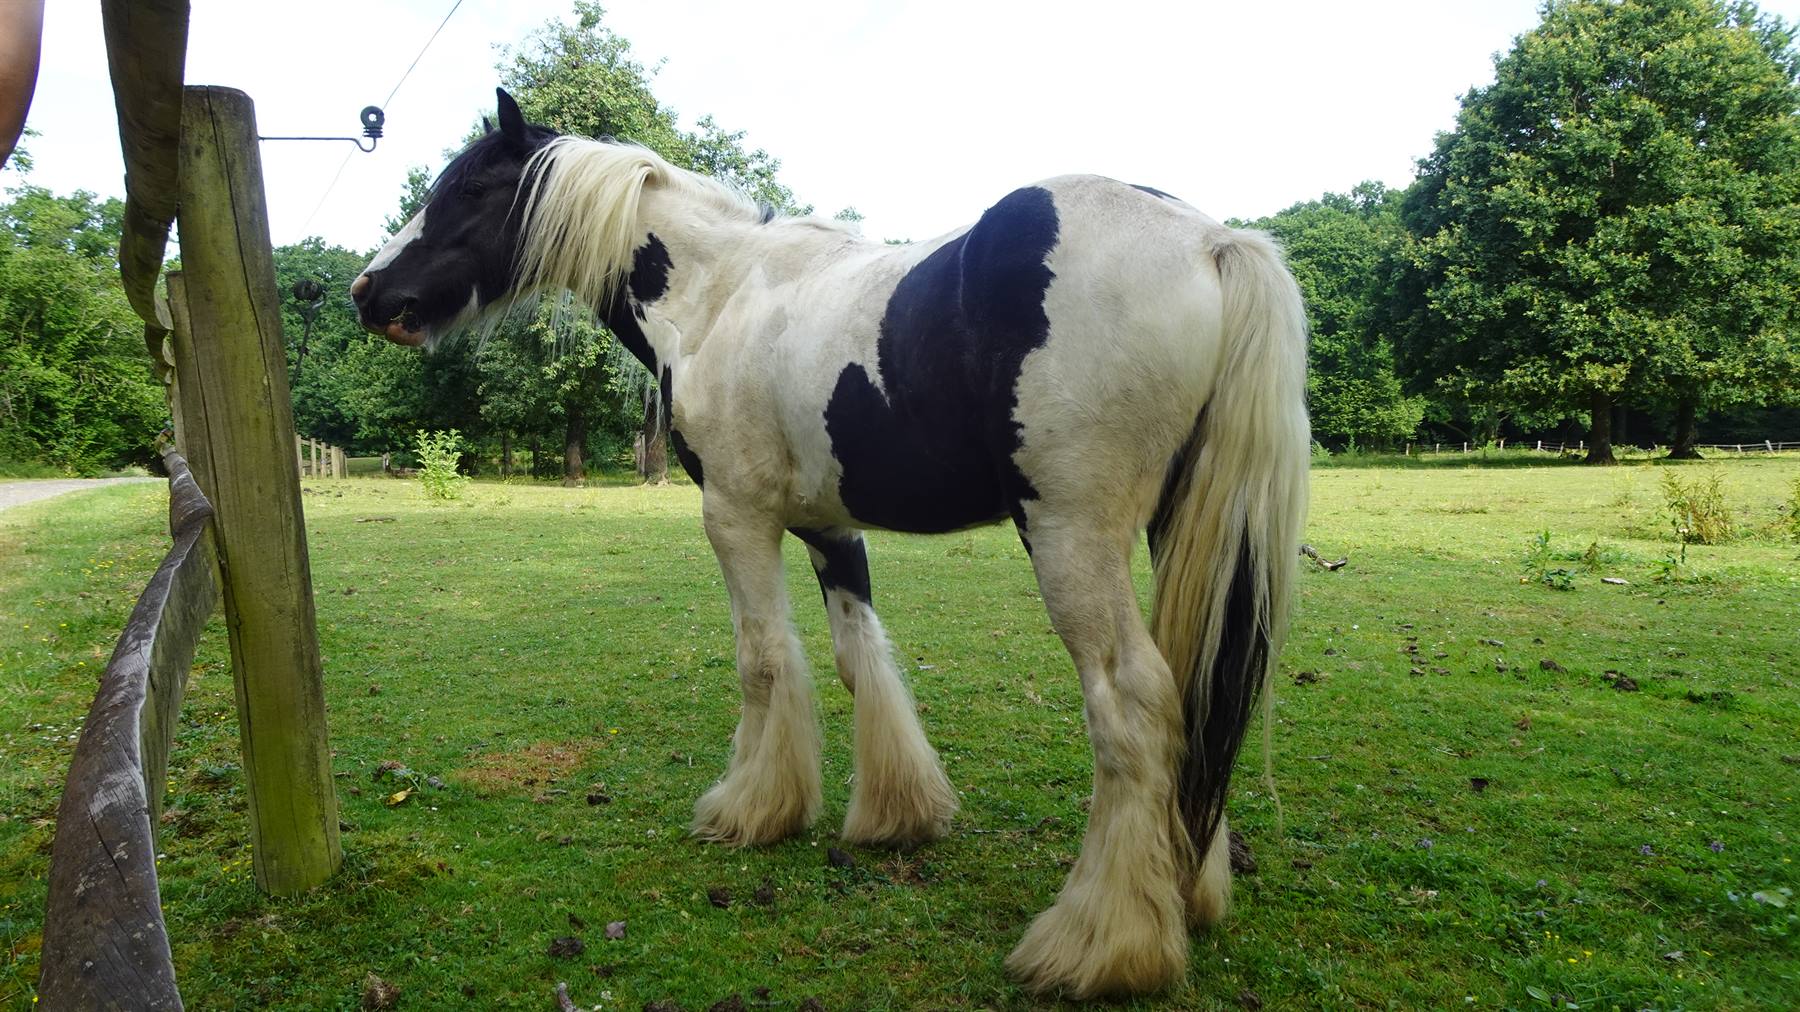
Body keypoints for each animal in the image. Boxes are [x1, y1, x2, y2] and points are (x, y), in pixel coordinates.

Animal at [352, 88, 1309, 998]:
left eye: (470, 188)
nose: (367, 292)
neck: (719, 294)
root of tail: (1212, 242)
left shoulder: (735, 517)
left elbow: (765, 661)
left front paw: (750, 809)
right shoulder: (827, 524)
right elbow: (861, 658)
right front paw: (897, 814)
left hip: (1072, 535)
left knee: (1133, 703)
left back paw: (1100, 945)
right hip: (1174, 533)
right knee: (1200, 689)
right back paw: (1184, 889)